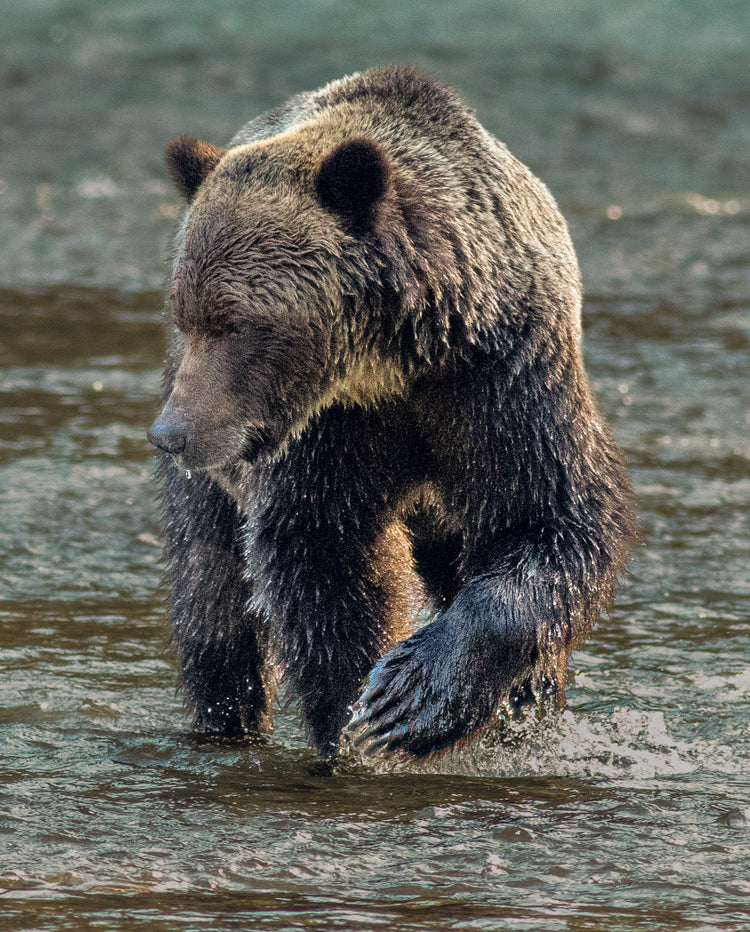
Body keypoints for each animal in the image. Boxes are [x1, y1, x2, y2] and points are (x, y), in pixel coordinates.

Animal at [147, 65, 637, 763]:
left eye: (237, 323)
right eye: (187, 315)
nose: (172, 434)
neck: (397, 358)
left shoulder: (505, 377)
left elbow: (549, 520)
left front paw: (416, 696)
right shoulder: (330, 429)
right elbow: (325, 552)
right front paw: (357, 712)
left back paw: (530, 707)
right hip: (208, 480)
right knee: (212, 597)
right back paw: (225, 715)